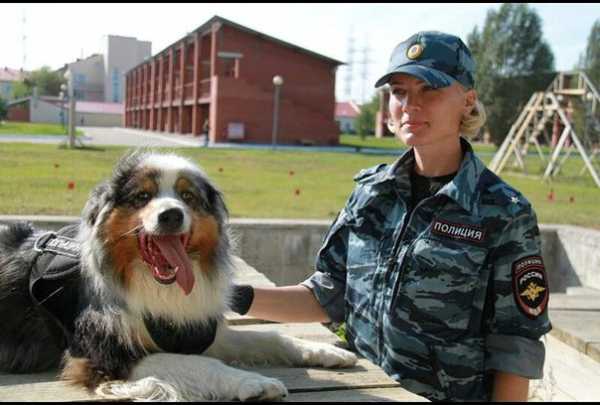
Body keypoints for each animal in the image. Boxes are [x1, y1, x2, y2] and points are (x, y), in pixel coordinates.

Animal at [0, 150, 356, 400]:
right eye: (142, 197)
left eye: (188, 197)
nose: (171, 215)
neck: (153, 284)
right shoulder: (100, 353)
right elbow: (200, 364)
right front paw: (253, 382)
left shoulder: (195, 330)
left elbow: (268, 337)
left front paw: (327, 352)